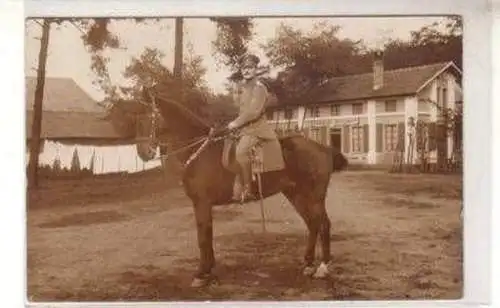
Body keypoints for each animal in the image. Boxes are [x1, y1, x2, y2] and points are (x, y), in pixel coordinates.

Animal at [137, 85, 348, 288]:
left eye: (148, 116)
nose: (143, 152)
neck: (200, 152)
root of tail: (323, 148)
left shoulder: (202, 203)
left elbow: (203, 237)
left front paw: (201, 274)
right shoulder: (203, 205)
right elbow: (207, 235)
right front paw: (209, 270)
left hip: (314, 196)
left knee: (324, 224)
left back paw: (322, 267)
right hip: (296, 195)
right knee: (312, 224)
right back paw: (308, 264)